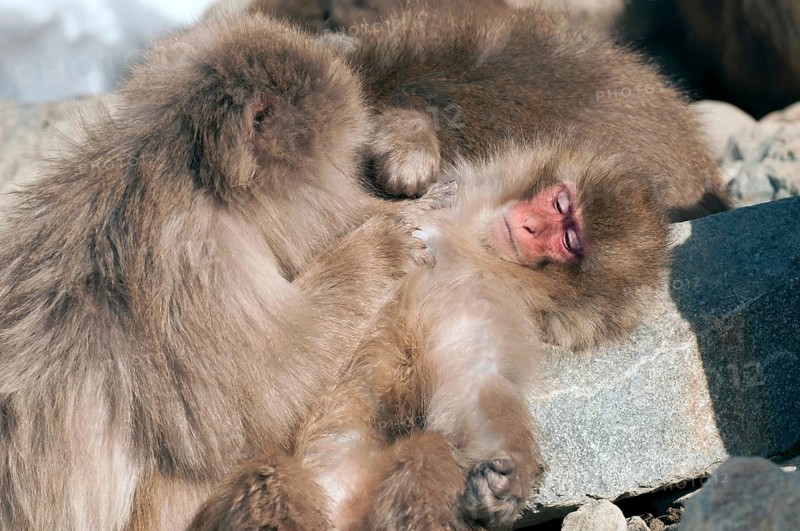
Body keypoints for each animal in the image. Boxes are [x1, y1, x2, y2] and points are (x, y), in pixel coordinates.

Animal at [0, 12, 454, 531]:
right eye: (342, 167)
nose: (367, 195)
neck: (192, 179)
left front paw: (409, 151)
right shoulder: (192, 271)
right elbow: (260, 393)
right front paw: (382, 246)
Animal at [188, 134, 670, 530]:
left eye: (569, 242)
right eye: (560, 205)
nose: (530, 226)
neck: (470, 246)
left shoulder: (481, 301)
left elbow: (475, 384)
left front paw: (510, 475)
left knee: (428, 453)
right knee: (268, 477)